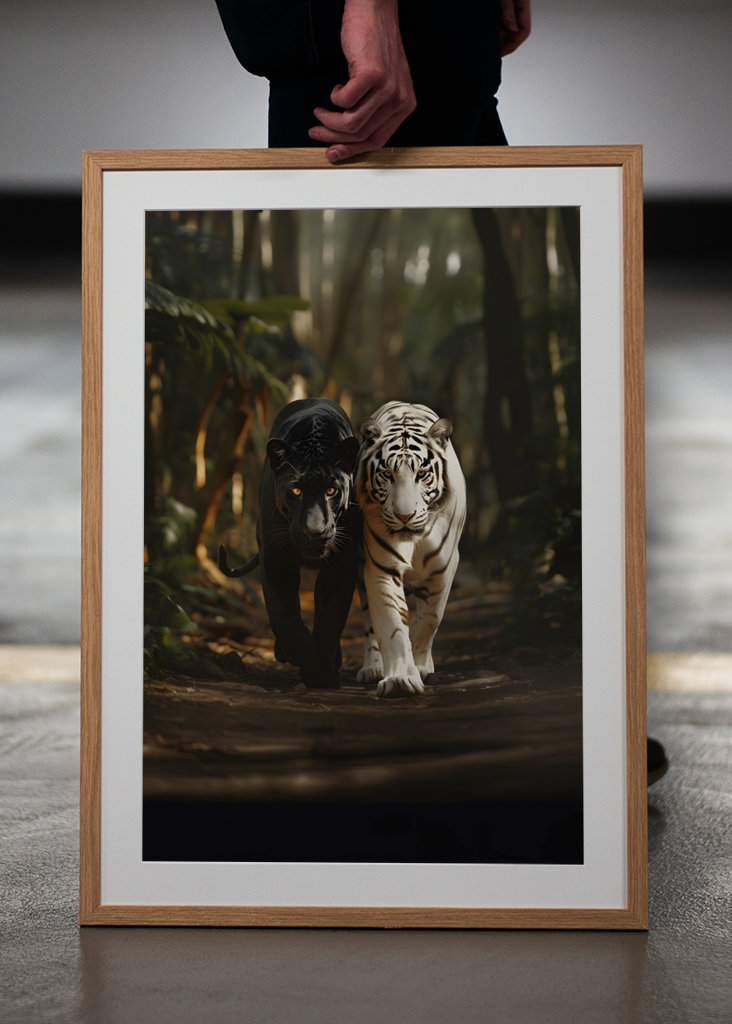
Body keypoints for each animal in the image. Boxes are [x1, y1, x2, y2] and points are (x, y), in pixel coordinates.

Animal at [355, 401, 467, 697]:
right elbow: (392, 624)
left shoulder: (444, 568)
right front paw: (400, 678)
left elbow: (429, 619)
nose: (404, 516)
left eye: (422, 474)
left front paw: (420, 665)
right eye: (387, 474)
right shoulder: (381, 567)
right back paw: (372, 668)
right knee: (370, 624)